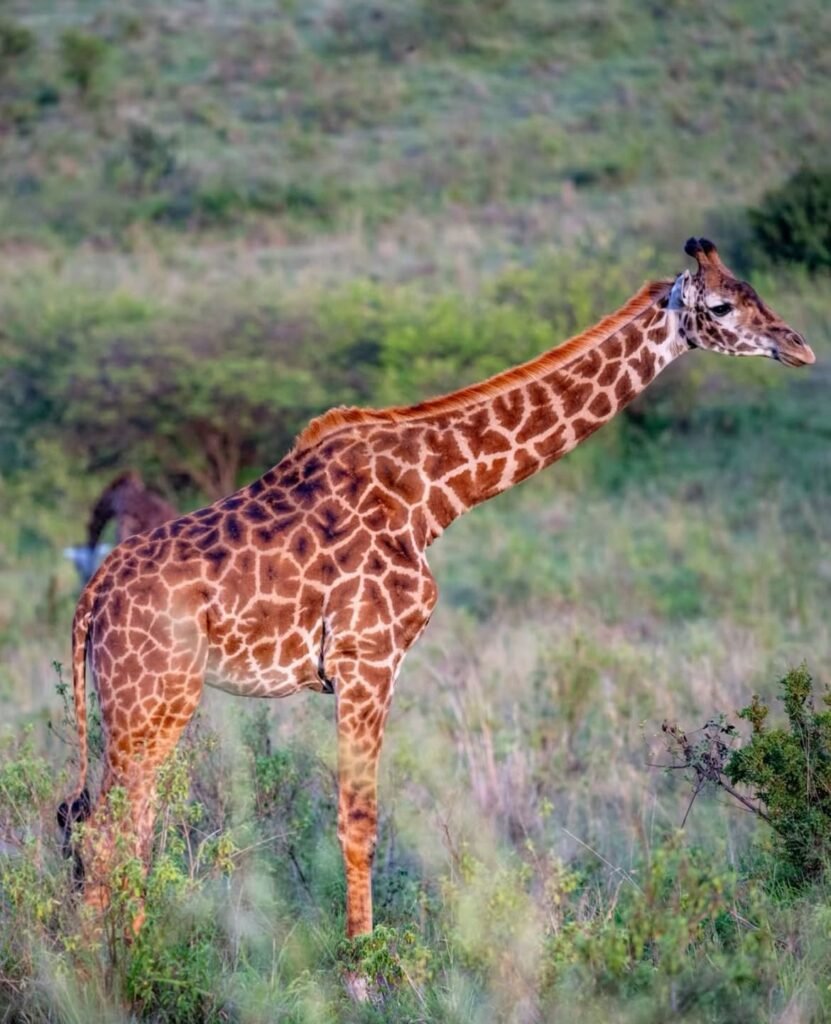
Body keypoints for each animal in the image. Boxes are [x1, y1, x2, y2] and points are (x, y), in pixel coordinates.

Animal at [60, 238, 814, 939]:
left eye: (755, 293)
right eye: (721, 306)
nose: (799, 346)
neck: (434, 493)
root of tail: (91, 596)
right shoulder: (368, 660)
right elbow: (359, 820)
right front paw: (362, 969)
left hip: (138, 704)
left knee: (113, 826)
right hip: (154, 699)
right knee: (108, 831)